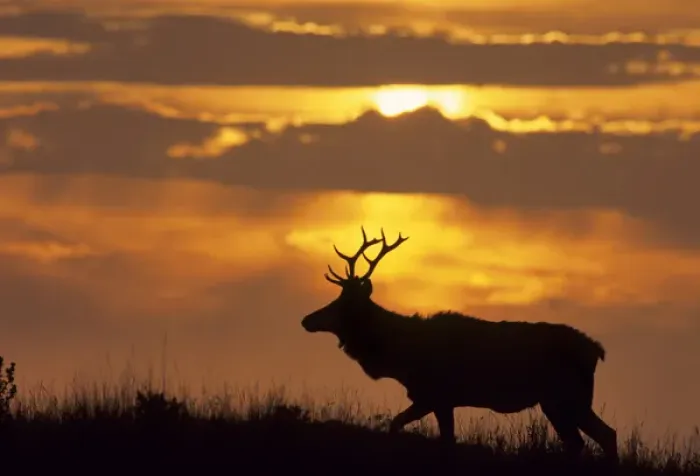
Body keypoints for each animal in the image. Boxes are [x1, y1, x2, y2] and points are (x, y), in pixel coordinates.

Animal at [301, 226, 618, 463]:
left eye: (343, 303)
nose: (306, 319)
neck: (400, 356)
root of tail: (596, 351)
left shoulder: (436, 394)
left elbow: (414, 430)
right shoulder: (440, 399)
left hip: (565, 395)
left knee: (599, 437)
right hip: (560, 401)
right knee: (592, 438)